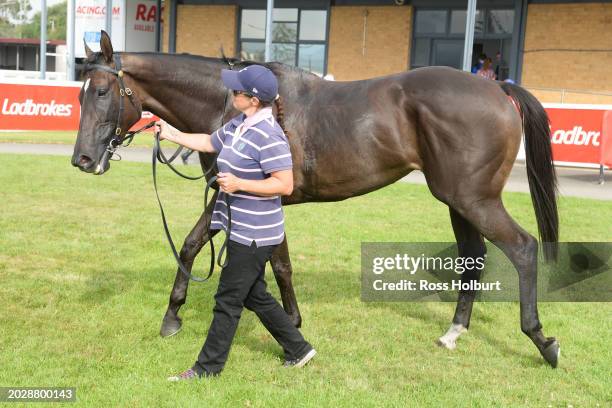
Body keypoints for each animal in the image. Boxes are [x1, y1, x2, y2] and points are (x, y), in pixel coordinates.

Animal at [71, 31, 560, 366]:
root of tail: (497, 89)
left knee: (522, 248)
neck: (232, 105)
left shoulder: (245, 195)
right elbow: (254, 258)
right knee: (473, 256)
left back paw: (541, 339)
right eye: (79, 93)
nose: (83, 159)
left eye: (102, 92)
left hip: (473, 198)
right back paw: (454, 332)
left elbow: (230, 253)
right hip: (459, 200)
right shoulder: (250, 201)